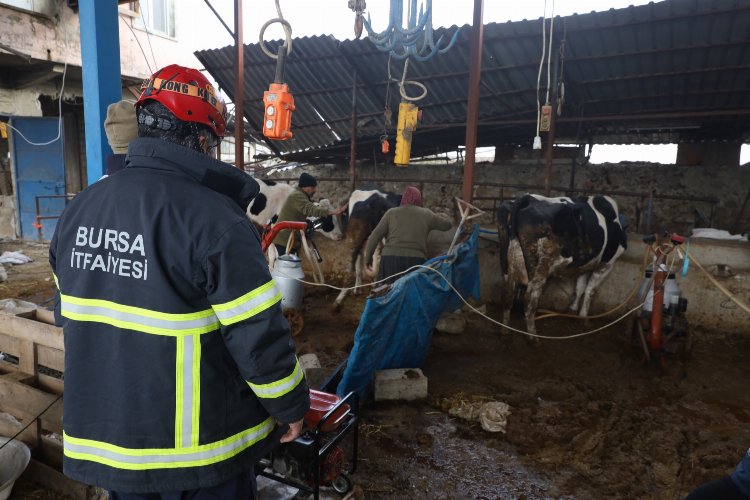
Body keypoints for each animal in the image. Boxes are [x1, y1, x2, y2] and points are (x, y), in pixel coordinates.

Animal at [500, 193, 628, 334]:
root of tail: (528, 197)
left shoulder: (584, 265)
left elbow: (580, 287)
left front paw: (573, 310)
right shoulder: (606, 264)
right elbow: (590, 290)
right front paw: (584, 318)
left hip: (506, 262)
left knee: (508, 292)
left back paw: (505, 329)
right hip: (541, 265)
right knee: (529, 298)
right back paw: (533, 335)